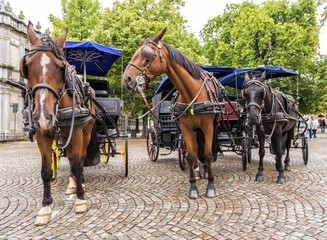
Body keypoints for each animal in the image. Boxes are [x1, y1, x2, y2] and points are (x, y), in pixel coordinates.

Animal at [23, 22, 96, 225]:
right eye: (27, 66)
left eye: (61, 67)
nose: (42, 116)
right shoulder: (42, 135)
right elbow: (46, 171)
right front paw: (46, 207)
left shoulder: (77, 133)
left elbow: (78, 164)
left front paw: (80, 199)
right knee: (71, 158)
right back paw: (73, 183)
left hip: (85, 132)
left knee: (79, 158)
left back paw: (80, 183)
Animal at [122, 29, 223, 198]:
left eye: (146, 53)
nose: (127, 79)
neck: (192, 92)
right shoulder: (186, 128)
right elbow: (190, 155)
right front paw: (193, 187)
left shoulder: (208, 127)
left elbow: (208, 154)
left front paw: (210, 186)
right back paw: (197, 172)